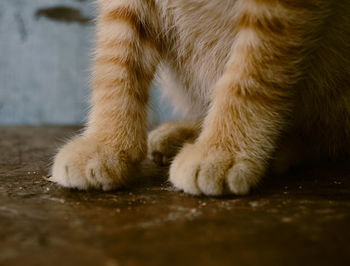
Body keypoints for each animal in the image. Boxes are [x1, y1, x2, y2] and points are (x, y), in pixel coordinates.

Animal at [51, 0, 350, 195]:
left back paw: (283, 148)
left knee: (330, 137)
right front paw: (106, 144)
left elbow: (251, 73)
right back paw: (181, 134)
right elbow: (115, 62)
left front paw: (222, 151)